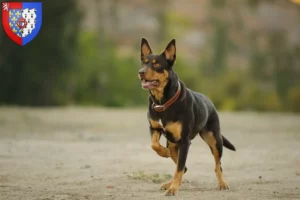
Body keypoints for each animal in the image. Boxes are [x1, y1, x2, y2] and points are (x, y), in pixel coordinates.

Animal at [137, 37, 236, 195]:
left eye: (157, 64)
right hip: (173, 142)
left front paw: (173, 189)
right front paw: (163, 153)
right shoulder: (154, 128)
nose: (141, 72)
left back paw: (222, 183)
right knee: (182, 164)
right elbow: (154, 145)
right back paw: (169, 179)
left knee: (217, 165)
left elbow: (179, 167)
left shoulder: (184, 141)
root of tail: (209, 101)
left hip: (214, 140)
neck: (163, 102)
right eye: (144, 63)